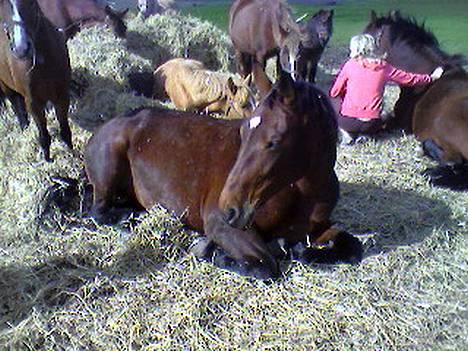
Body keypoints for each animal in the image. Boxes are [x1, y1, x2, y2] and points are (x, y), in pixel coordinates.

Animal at [84, 71, 362, 280]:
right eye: (243, 133)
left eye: (273, 142)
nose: (230, 208)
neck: (301, 192)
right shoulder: (221, 225)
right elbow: (266, 265)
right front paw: (213, 252)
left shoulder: (318, 227)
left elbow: (351, 247)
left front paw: (299, 249)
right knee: (98, 211)